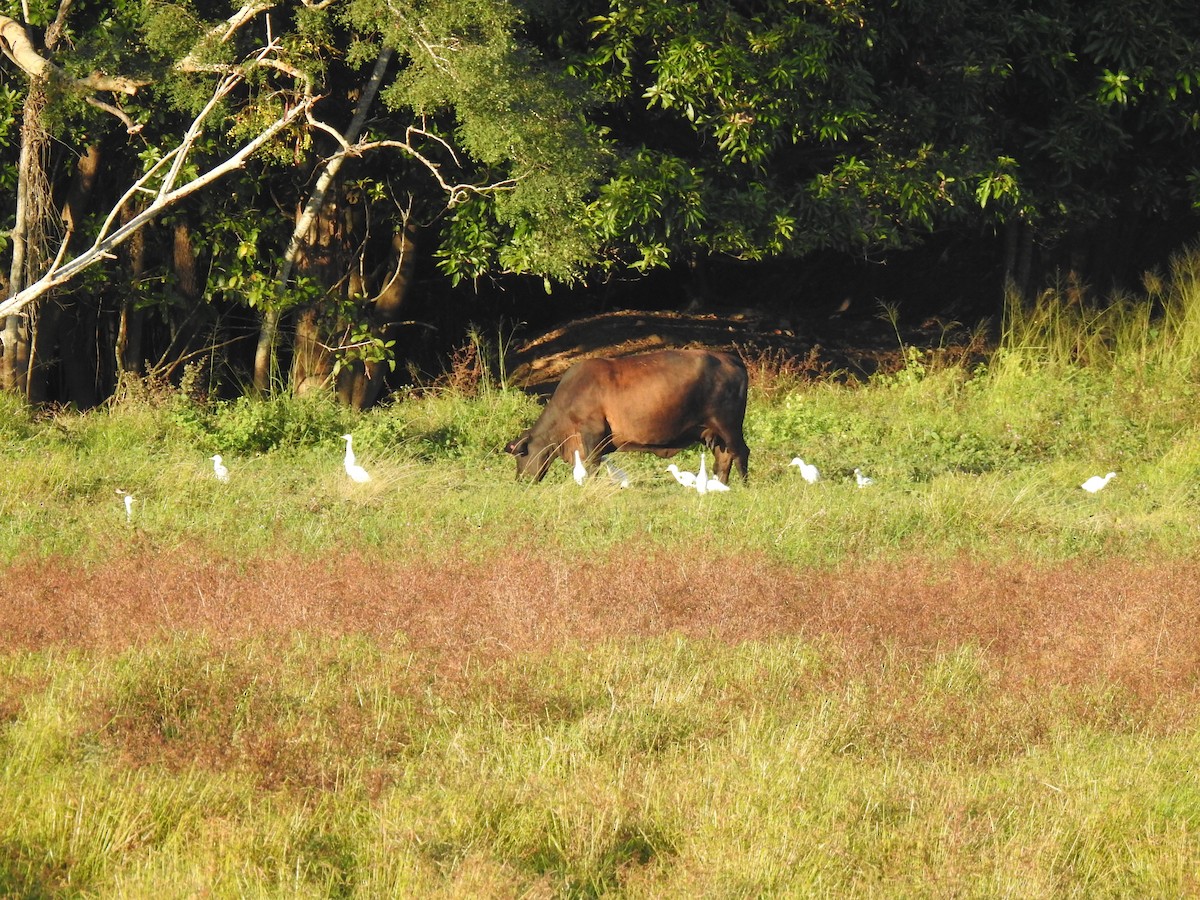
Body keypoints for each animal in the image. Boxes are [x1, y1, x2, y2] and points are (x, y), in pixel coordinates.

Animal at [499, 348, 744, 487]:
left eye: (521, 455)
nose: (520, 481)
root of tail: (730, 359)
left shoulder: (593, 433)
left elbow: (592, 464)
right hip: (714, 433)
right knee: (723, 459)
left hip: (729, 425)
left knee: (741, 453)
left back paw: (744, 485)